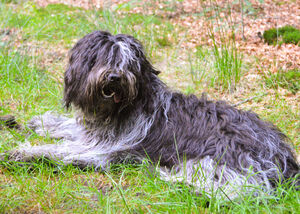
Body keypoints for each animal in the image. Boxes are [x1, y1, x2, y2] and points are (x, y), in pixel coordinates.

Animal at [5, 30, 300, 198]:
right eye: (101, 58)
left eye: (128, 63)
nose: (114, 77)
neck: (123, 108)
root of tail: (284, 158)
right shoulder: (95, 133)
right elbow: (71, 127)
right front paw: (42, 122)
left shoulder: (105, 147)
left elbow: (61, 150)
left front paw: (25, 152)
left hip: (216, 159)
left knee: (239, 189)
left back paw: (173, 179)